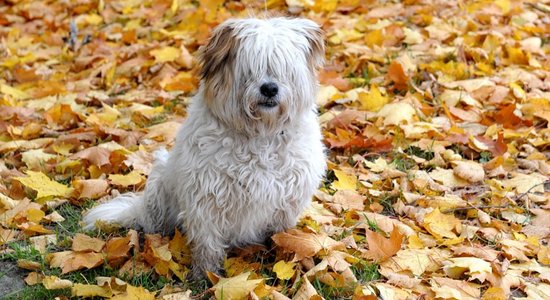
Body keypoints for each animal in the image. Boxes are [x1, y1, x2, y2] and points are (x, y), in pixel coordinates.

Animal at [83, 17, 328, 278]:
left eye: (285, 69)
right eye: (251, 69)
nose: (270, 88)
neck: (261, 134)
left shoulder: (287, 202)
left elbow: (280, 235)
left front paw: (283, 257)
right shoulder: (206, 199)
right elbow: (207, 243)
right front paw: (206, 275)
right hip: (160, 184)